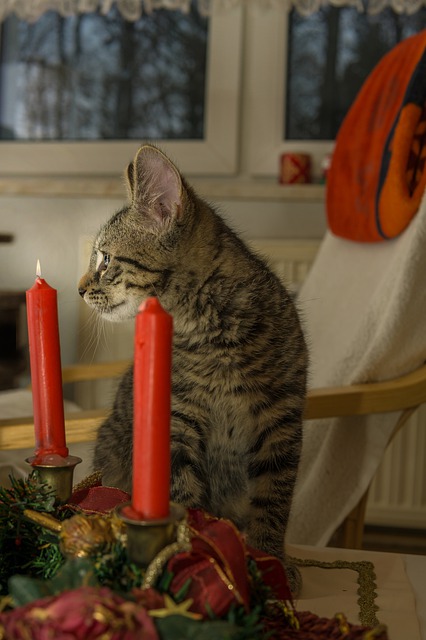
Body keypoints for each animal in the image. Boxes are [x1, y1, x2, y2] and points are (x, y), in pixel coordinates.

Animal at [79, 145, 306, 592]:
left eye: (106, 259)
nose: (79, 289)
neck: (213, 337)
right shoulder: (175, 427)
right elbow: (185, 499)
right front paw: (199, 557)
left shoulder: (281, 423)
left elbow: (273, 502)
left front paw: (270, 561)